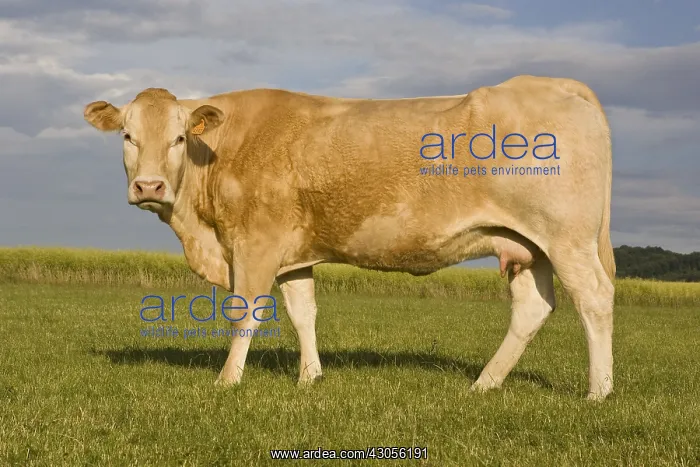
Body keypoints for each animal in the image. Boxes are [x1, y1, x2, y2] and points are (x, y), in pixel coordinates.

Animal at [83, 75, 615, 400]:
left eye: (178, 138)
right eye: (127, 136)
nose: (149, 186)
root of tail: (550, 83)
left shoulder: (255, 243)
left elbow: (245, 312)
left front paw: (227, 381)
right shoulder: (293, 251)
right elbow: (303, 312)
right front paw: (310, 378)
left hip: (567, 239)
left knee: (594, 298)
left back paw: (599, 391)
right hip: (527, 245)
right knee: (533, 307)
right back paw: (485, 384)